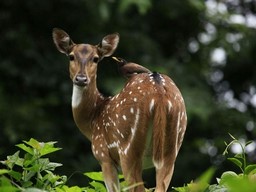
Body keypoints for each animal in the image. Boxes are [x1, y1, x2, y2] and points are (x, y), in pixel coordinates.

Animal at [53, 28, 187, 192]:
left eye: (96, 59)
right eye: (71, 56)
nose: (81, 79)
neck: (93, 120)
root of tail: (159, 92)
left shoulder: (103, 155)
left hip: (127, 149)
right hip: (171, 150)